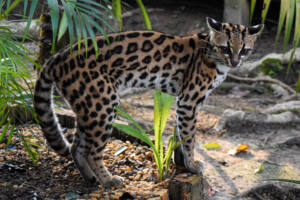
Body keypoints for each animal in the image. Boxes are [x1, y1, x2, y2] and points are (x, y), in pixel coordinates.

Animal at [33, 17, 262, 188]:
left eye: (244, 50)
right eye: (226, 48)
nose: (235, 63)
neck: (213, 52)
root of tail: (57, 56)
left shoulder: (182, 101)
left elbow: (179, 133)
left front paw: (181, 163)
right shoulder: (189, 100)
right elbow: (189, 136)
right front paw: (192, 164)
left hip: (87, 106)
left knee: (76, 146)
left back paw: (91, 178)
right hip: (102, 104)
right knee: (91, 150)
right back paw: (108, 180)